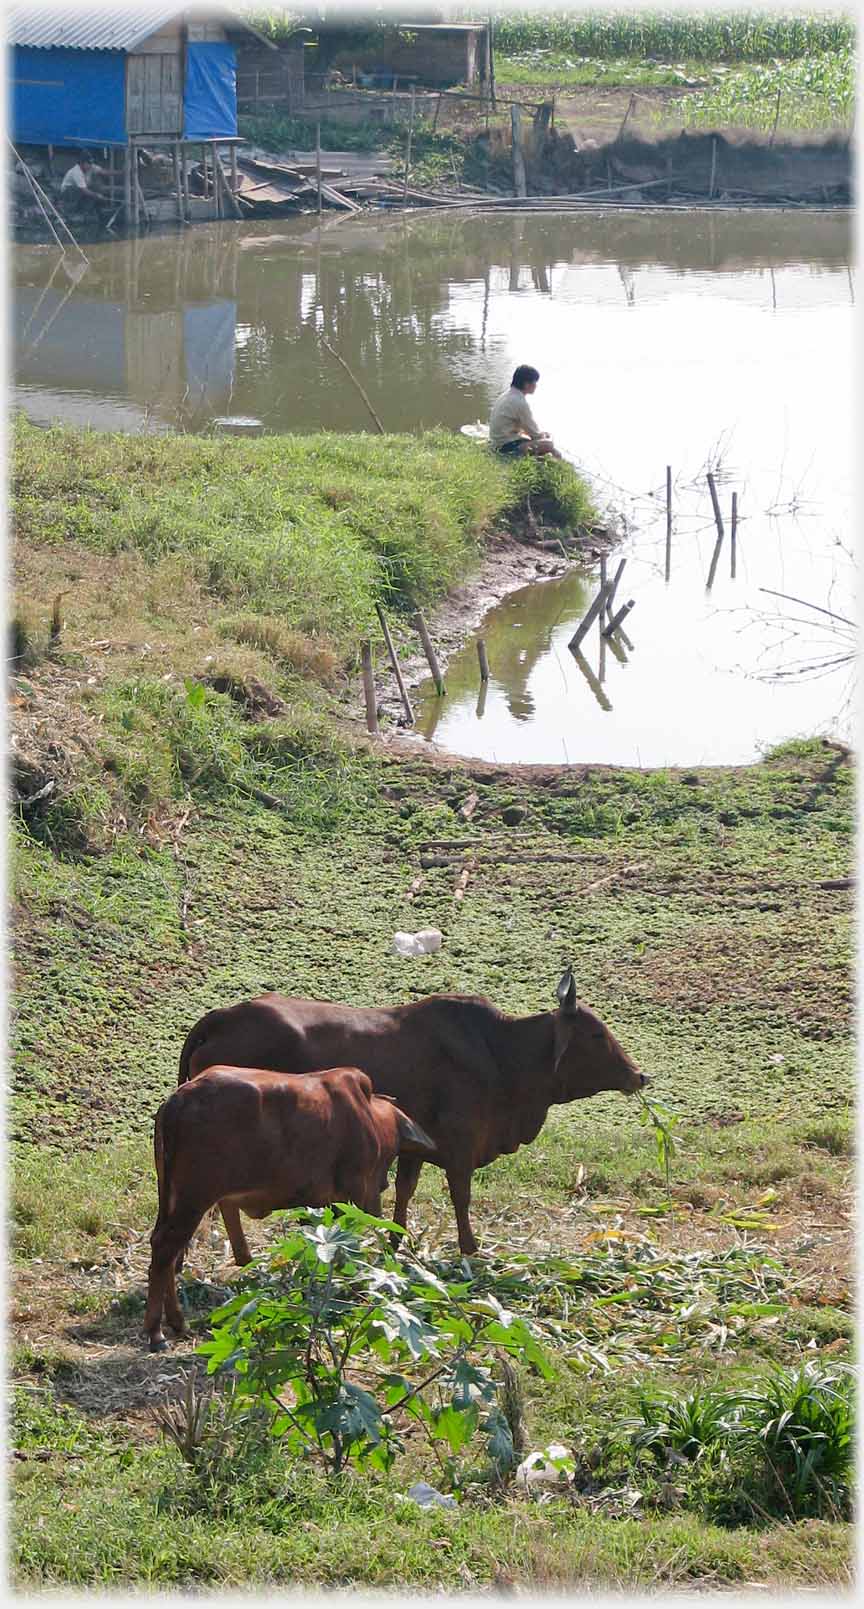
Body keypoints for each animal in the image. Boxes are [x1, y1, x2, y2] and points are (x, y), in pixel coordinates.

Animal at [146, 1074, 437, 1351]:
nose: (384, 1183)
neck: (369, 1115)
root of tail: (178, 1100)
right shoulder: (358, 1192)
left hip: (172, 1198)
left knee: (165, 1250)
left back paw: (176, 1322)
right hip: (194, 1199)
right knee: (165, 1249)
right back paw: (156, 1331)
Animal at [176, 958, 646, 1261]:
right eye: (596, 1034)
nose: (639, 1076)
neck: (502, 1053)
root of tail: (222, 1016)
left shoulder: (415, 1149)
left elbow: (405, 1191)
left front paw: (396, 1240)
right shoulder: (459, 1147)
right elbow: (460, 1196)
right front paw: (470, 1249)